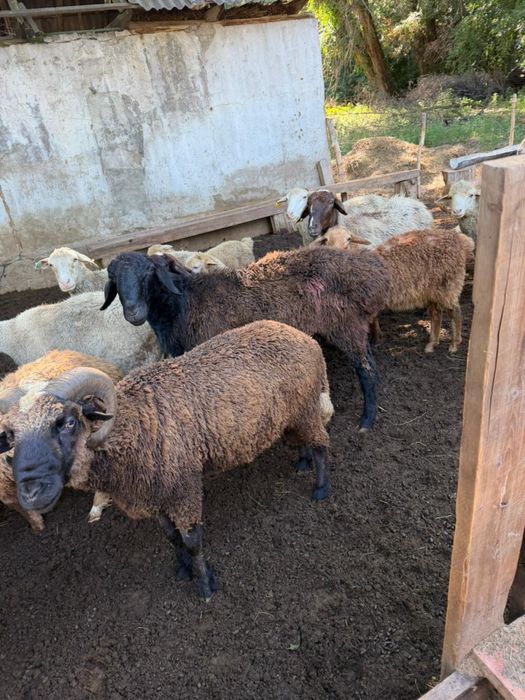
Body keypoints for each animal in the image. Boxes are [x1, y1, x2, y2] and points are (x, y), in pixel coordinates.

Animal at [100, 248, 389, 431]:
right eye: (114, 279)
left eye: (148, 274)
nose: (134, 313)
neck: (184, 303)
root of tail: (369, 272)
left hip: (346, 325)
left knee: (368, 371)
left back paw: (366, 420)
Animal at [313, 227, 475, 353]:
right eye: (326, 240)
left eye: (348, 239)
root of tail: (459, 240)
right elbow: (374, 319)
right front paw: (377, 338)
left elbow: (371, 322)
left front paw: (375, 339)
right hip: (431, 290)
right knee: (436, 315)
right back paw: (431, 344)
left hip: (449, 286)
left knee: (456, 313)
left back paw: (454, 344)